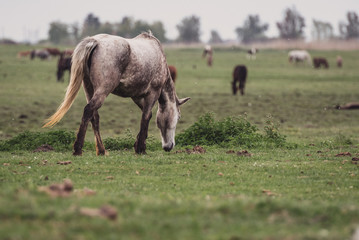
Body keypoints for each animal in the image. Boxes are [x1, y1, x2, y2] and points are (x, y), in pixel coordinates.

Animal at [44, 32, 191, 156]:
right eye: (178, 117)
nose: (168, 146)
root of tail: (95, 41)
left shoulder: (136, 96)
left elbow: (147, 116)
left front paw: (138, 144)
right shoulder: (152, 93)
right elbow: (146, 117)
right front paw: (141, 148)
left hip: (89, 89)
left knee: (94, 116)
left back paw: (101, 150)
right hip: (103, 90)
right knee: (88, 110)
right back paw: (78, 149)